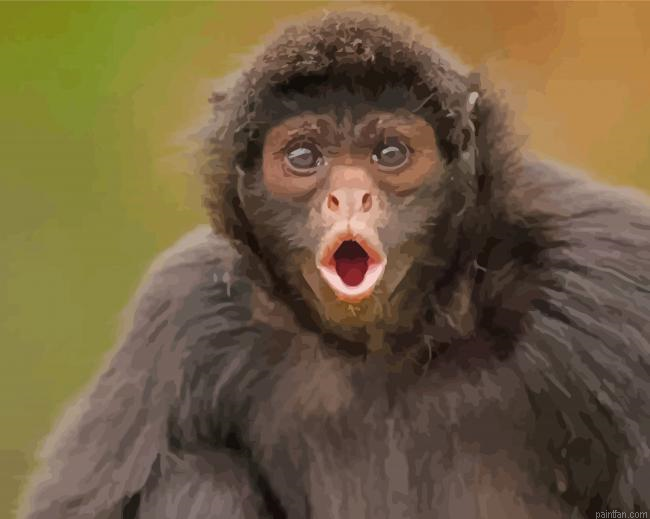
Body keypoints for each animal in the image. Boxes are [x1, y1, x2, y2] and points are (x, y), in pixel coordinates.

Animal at [18, 9, 650, 519]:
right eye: (304, 157)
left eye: (389, 153)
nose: (348, 197)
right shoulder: (187, 310)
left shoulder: (604, 278)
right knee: (202, 476)